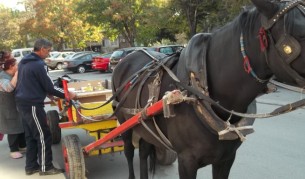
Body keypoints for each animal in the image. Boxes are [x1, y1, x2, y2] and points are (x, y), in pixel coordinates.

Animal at [110, 0, 304, 178]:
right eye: (301, 34)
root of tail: (128, 57)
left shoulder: (227, 158)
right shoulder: (187, 160)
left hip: (143, 124)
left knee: (143, 150)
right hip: (123, 120)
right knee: (129, 151)